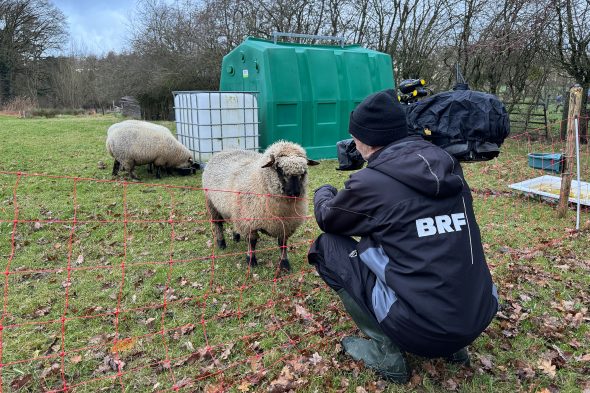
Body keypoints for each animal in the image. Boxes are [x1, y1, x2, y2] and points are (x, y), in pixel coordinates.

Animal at [202, 139, 322, 272]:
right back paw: (221, 243)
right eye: (279, 169)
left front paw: (284, 264)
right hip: (211, 204)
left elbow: (283, 244)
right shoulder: (249, 222)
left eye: (304, 171)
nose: (295, 193)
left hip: (235, 209)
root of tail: (225, 150)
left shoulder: (285, 224)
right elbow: (252, 242)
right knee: (218, 224)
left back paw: (236, 236)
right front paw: (251, 260)